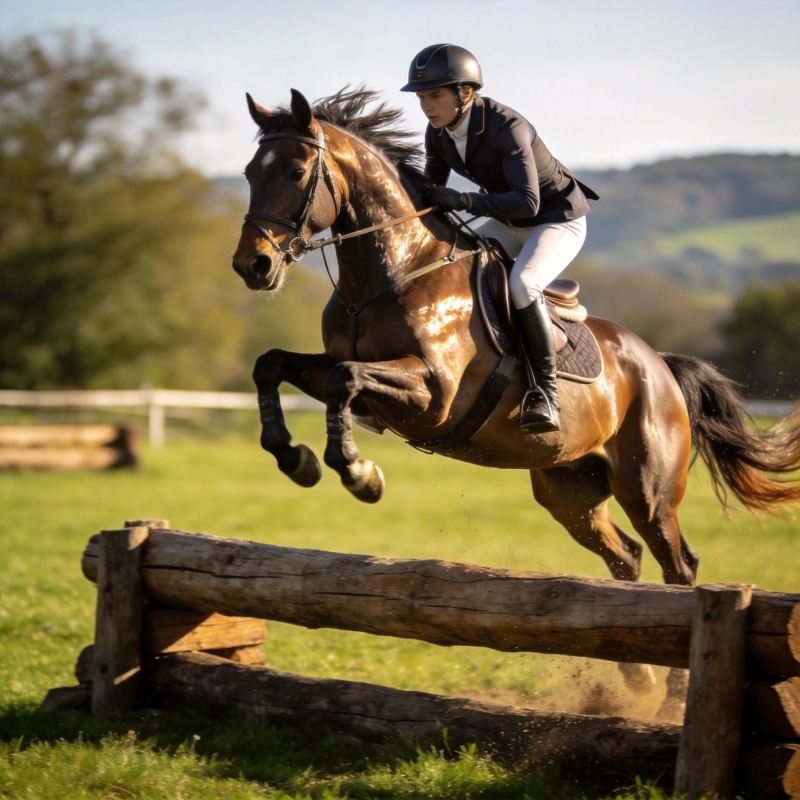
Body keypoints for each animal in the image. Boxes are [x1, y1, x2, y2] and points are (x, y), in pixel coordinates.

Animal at [232, 87, 800, 715]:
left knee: (679, 567)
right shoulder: (348, 372)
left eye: (295, 171)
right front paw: (296, 459)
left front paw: (360, 474)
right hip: (569, 492)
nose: (252, 266)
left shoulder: (433, 394)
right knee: (624, 558)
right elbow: (274, 365)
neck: (390, 271)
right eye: (250, 173)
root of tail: (660, 367)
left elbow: (344, 380)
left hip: (648, 489)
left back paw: (674, 694)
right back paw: (636, 682)